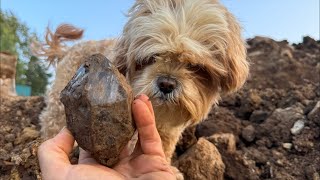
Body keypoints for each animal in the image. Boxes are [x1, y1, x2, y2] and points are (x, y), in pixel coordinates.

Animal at [35, 0, 250, 174]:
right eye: (151, 57)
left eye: (195, 66)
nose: (166, 83)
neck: (159, 113)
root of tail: (67, 51)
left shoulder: (168, 131)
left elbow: (164, 148)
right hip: (57, 106)